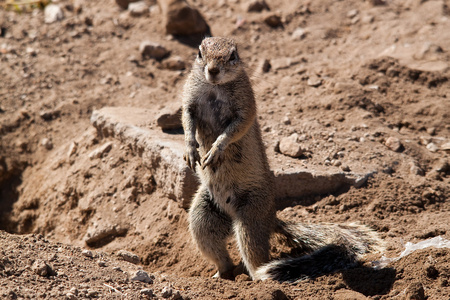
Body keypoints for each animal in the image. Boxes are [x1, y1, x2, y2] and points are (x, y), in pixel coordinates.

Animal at [181, 37, 382, 282]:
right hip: (203, 213)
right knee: (215, 247)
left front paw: (216, 149)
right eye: (200, 53)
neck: (214, 88)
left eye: (232, 55)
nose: (212, 70)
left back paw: (258, 278)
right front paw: (191, 149)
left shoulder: (245, 105)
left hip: (250, 219)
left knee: (256, 256)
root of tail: (271, 216)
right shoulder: (190, 99)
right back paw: (222, 275)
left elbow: (235, 129)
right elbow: (187, 120)